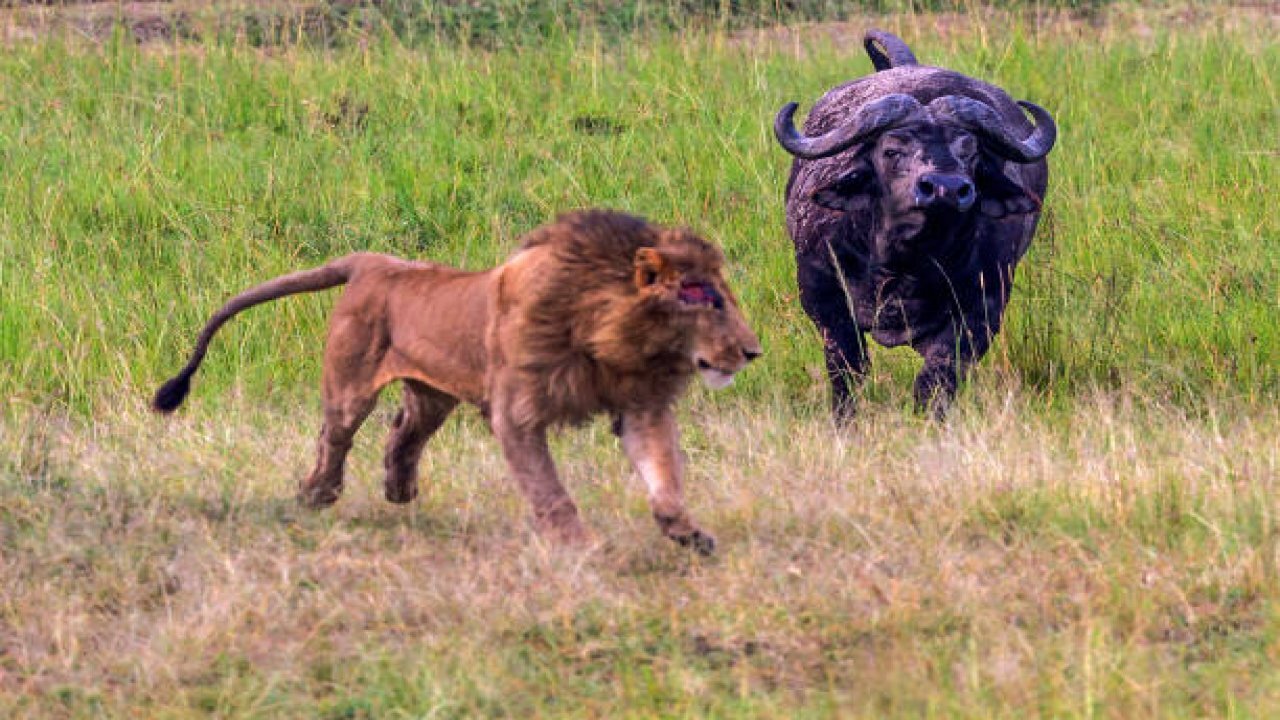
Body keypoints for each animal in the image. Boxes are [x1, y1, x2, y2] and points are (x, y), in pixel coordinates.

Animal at [156, 207, 762, 548]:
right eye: (703, 297)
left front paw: (687, 533)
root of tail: (372, 261)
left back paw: (398, 489)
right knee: (335, 436)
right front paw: (581, 545)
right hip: (350, 385)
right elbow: (551, 492)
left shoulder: (640, 405)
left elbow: (665, 476)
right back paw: (316, 494)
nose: (752, 351)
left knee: (403, 433)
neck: (613, 339)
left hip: (434, 394)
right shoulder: (516, 414)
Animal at [768, 30, 1059, 417]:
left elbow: (937, 376)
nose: (946, 188)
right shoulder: (821, 292)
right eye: (892, 151)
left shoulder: (985, 304)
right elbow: (847, 368)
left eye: (971, 151)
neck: (906, 265)